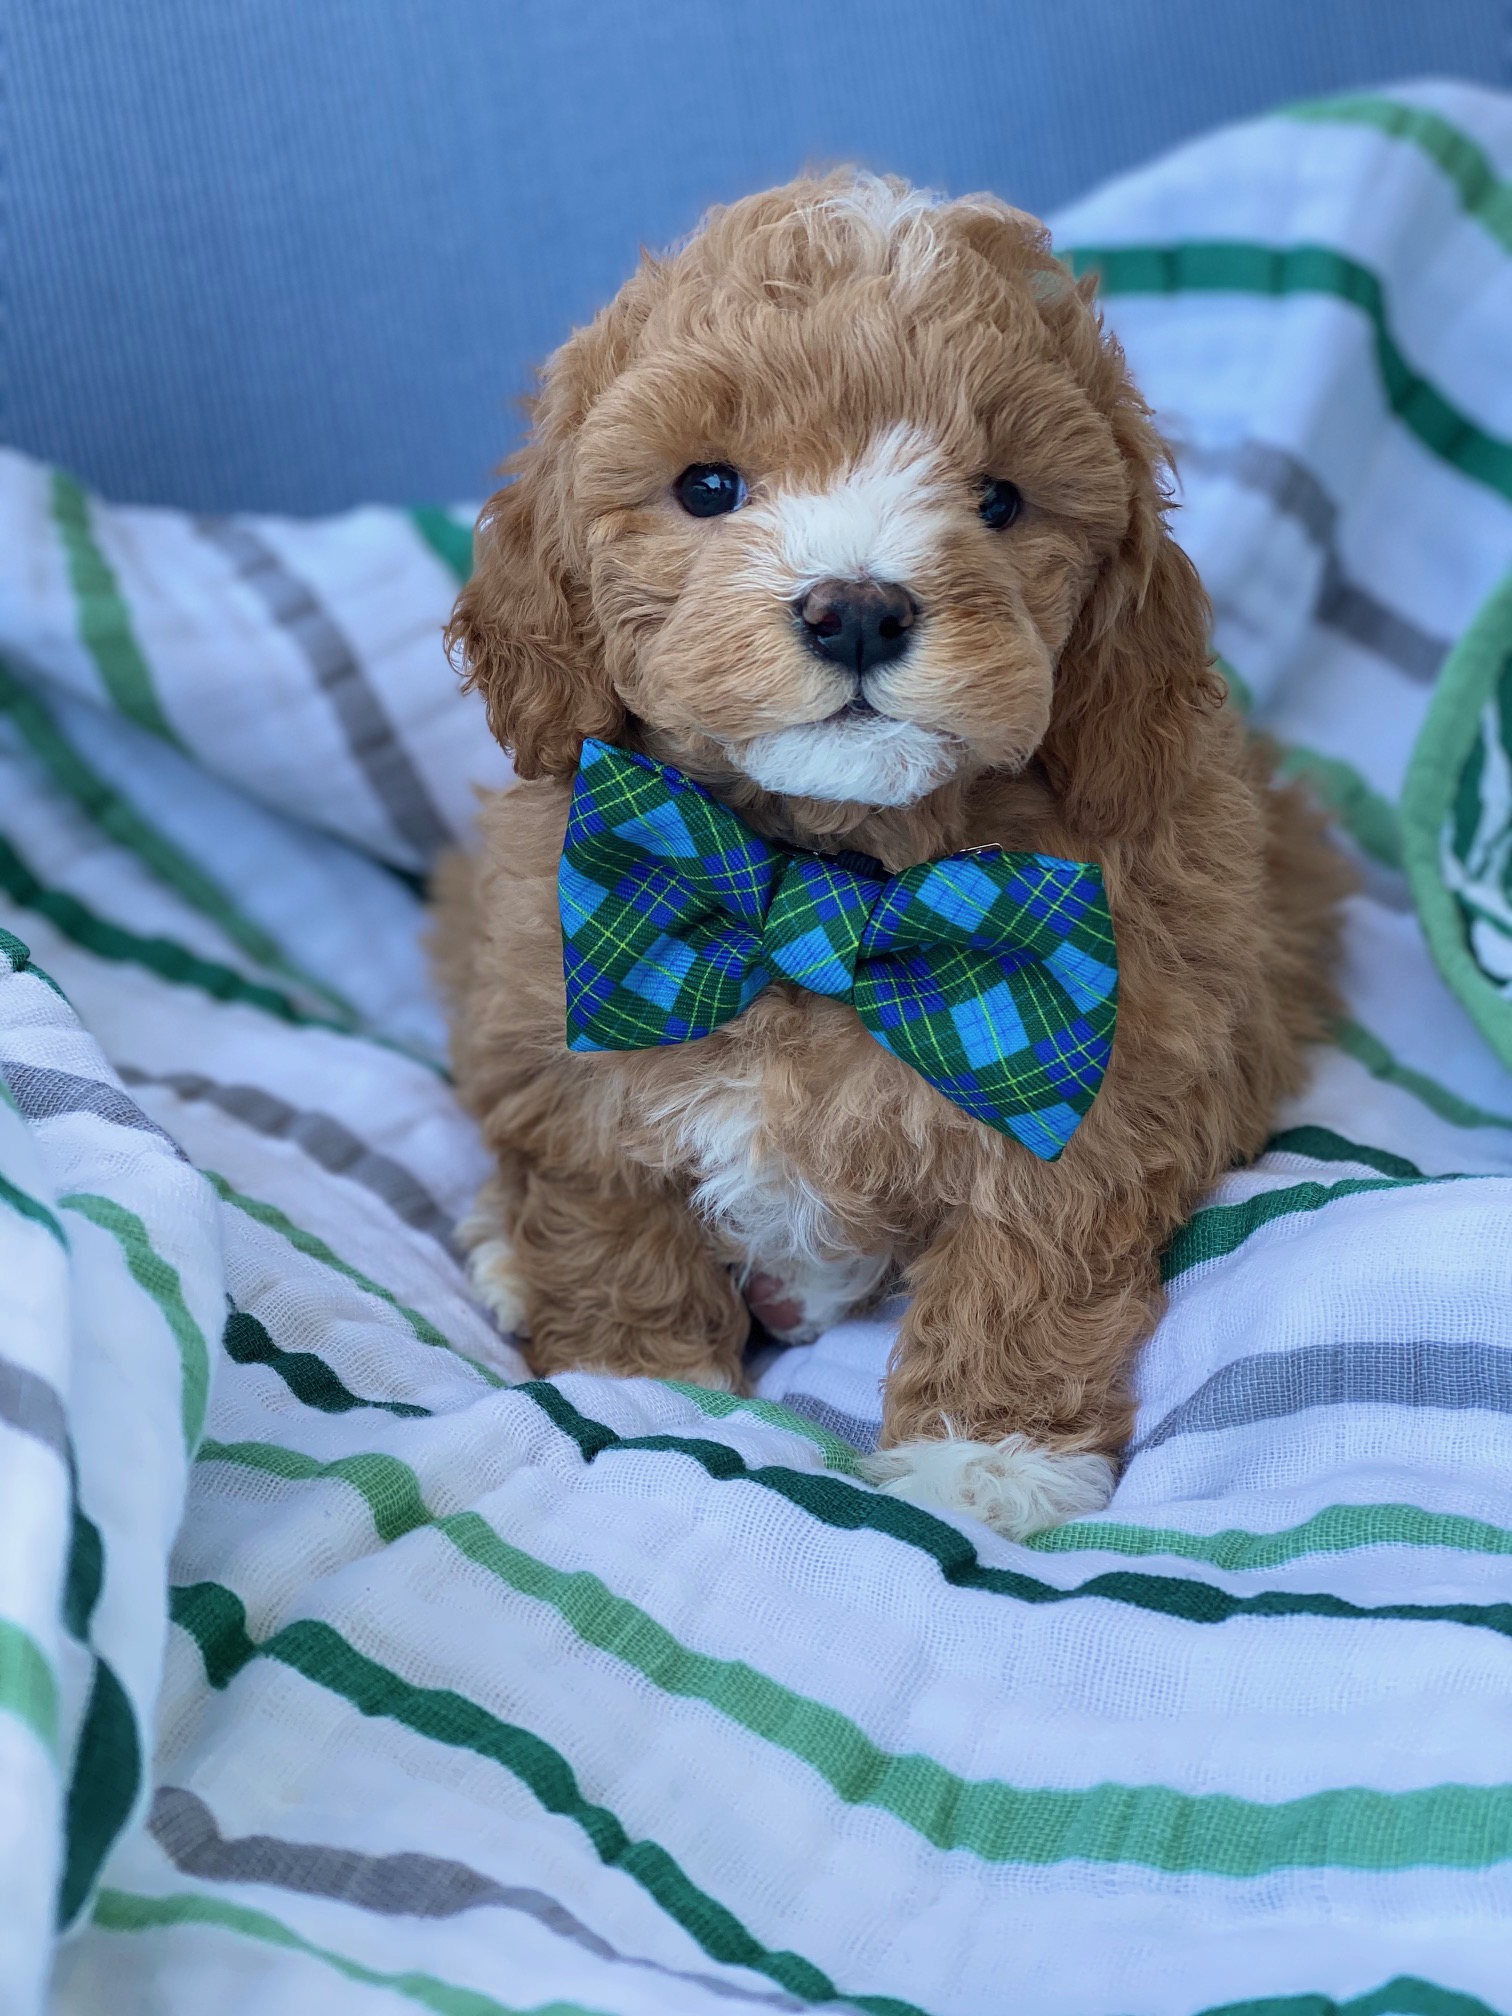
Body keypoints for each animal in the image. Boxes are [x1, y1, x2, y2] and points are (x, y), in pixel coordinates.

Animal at [429, 173, 1346, 1532]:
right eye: (709, 487)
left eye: (999, 500)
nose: (856, 607)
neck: (821, 884)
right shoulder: (563, 1017)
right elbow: (608, 1207)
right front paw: (636, 1374)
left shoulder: (1105, 1070)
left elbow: (1032, 1257)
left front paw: (989, 1455)